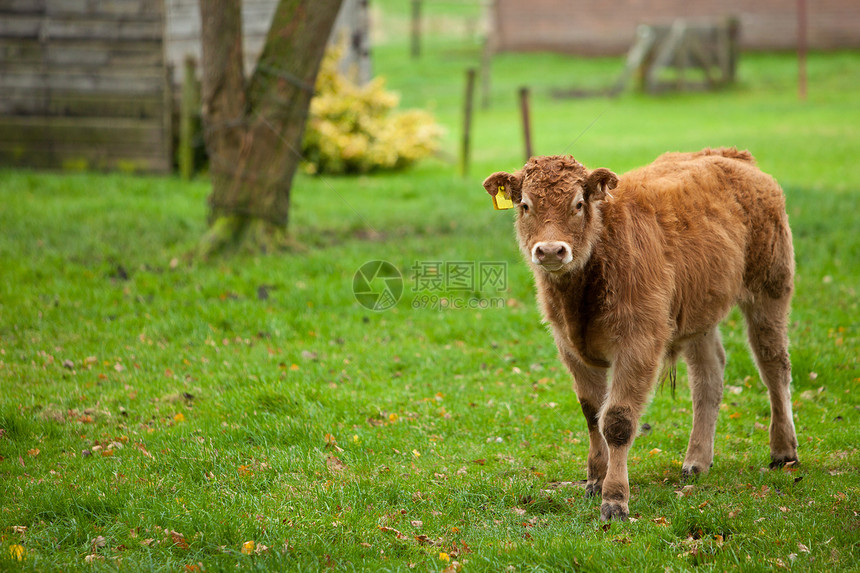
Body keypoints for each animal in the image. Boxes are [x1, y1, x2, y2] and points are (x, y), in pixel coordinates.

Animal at [484, 146, 800, 520]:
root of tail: (731, 156)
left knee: (774, 365)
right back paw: (696, 461)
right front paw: (595, 479)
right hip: (698, 314)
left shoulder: (639, 343)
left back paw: (783, 451)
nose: (549, 250)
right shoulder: (569, 347)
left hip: (770, 288)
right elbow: (592, 413)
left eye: (578, 203)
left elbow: (617, 421)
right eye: (525, 205)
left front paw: (615, 499)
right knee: (709, 377)